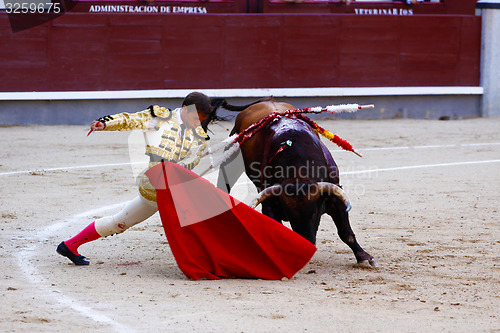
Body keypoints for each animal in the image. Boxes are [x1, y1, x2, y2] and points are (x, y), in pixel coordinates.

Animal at [215, 100, 376, 268]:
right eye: (290, 214)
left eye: (314, 213)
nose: (307, 244)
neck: (298, 174)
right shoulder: (269, 204)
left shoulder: (335, 198)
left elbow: (345, 232)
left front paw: (364, 257)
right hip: (231, 160)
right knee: (224, 184)